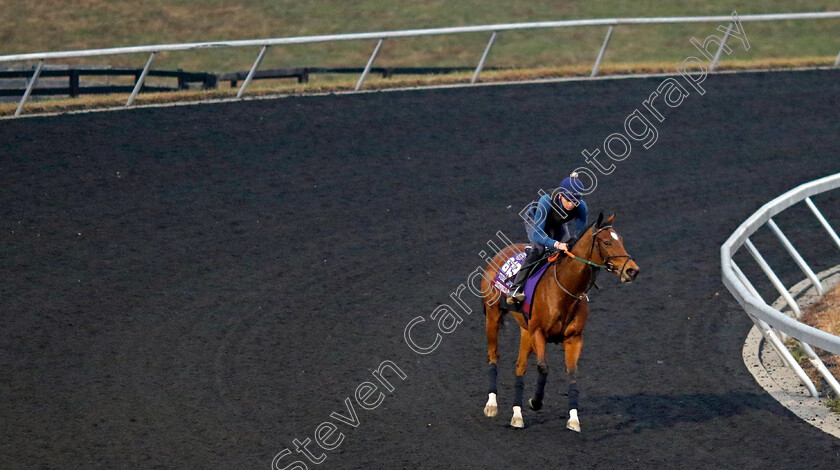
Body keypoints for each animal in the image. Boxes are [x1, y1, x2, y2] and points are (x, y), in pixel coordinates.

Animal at [480, 213, 636, 430]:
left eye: (620, 239)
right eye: (607, 242)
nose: (632, 270)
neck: (564, 289)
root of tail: (500, 253)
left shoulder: (573, 338)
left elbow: (572, 374)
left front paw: (573, 419)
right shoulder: (538, 332)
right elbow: (543, 367)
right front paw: (535, 402)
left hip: (525, 330)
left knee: (520, 366)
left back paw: (517, 415)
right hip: (493, 316)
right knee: (493, 355)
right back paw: (492, 404)